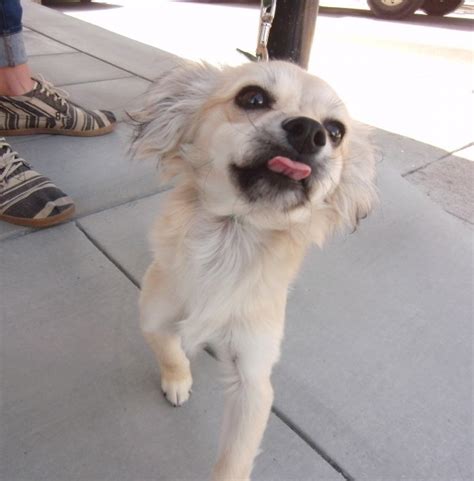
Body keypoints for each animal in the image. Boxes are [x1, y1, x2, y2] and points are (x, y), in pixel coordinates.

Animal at [131, 58, 376, 478]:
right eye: (253, 98)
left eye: (335, 131)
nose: (310, 131)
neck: (231, 239)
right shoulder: (154, 317)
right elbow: (171, 352)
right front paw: (178, 380)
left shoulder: (252, 377)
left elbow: (234, 460)